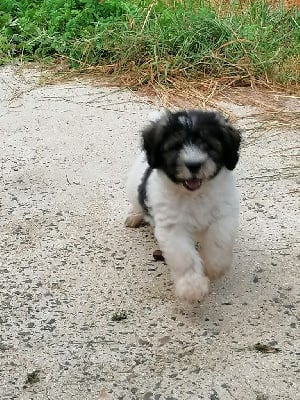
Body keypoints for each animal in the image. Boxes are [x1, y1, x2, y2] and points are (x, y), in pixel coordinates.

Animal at [125, 108, 241, 302]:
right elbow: (184, 256)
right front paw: (192, 286)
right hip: (134, 188)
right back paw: (135, 215)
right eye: (176, 146)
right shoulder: (172, 227)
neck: (194, 195)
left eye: (207, 146)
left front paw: (214, 267)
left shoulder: (224, 215)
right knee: (137, 203)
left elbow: (219, 240)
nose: (194, 165)